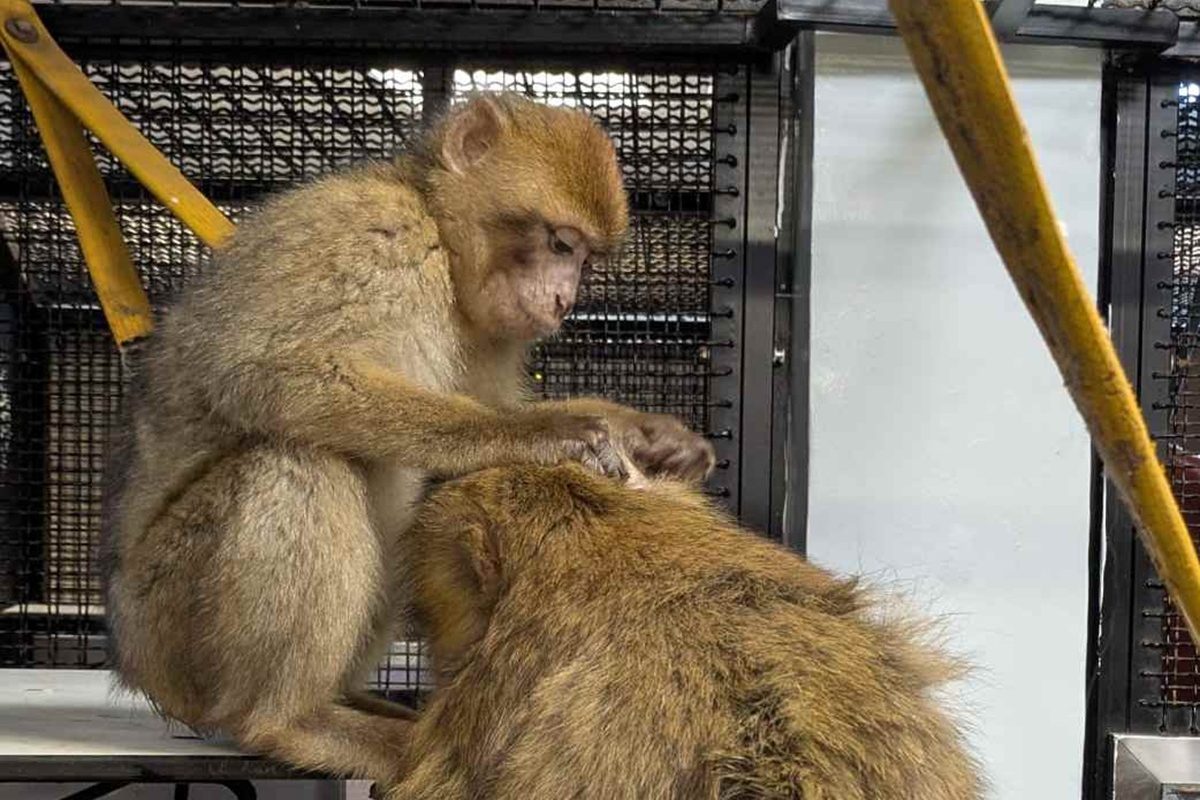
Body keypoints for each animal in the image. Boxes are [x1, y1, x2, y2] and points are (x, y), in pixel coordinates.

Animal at [99, 92, 715, 787]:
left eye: (585, 259)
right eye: (560, 244)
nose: (562, 298)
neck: (438, 236)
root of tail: (132, 657)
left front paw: (648, 435)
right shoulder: (376, 235)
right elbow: (267, 373)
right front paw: (536, 435)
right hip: (166, 623)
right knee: (298, 459)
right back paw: (288, 721)